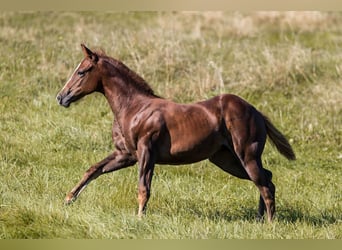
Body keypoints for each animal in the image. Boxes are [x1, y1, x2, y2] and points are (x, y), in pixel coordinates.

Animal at [56, 44, 296, 222]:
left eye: (81, 71)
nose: (61, 97)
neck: (134, 108)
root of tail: (256, 111)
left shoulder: (146, 152)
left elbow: (143, 187)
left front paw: (140, 219)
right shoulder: (126, 155)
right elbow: (93, 170)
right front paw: (68, 199)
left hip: (246, 155)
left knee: (265, 185)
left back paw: (270, 224)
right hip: (225, 159)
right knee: (267, 178)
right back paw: (259, 219)